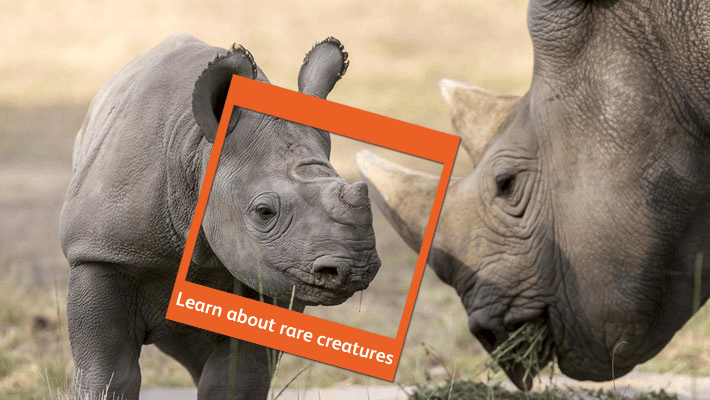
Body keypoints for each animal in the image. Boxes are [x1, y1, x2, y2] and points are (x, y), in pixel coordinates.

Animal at [59, 34, 381, 400]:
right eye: (264, 212)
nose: (355, 268)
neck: (196, 152)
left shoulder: (267, 276)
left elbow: (236, 379)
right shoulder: (100, 251)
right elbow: (109, 374)